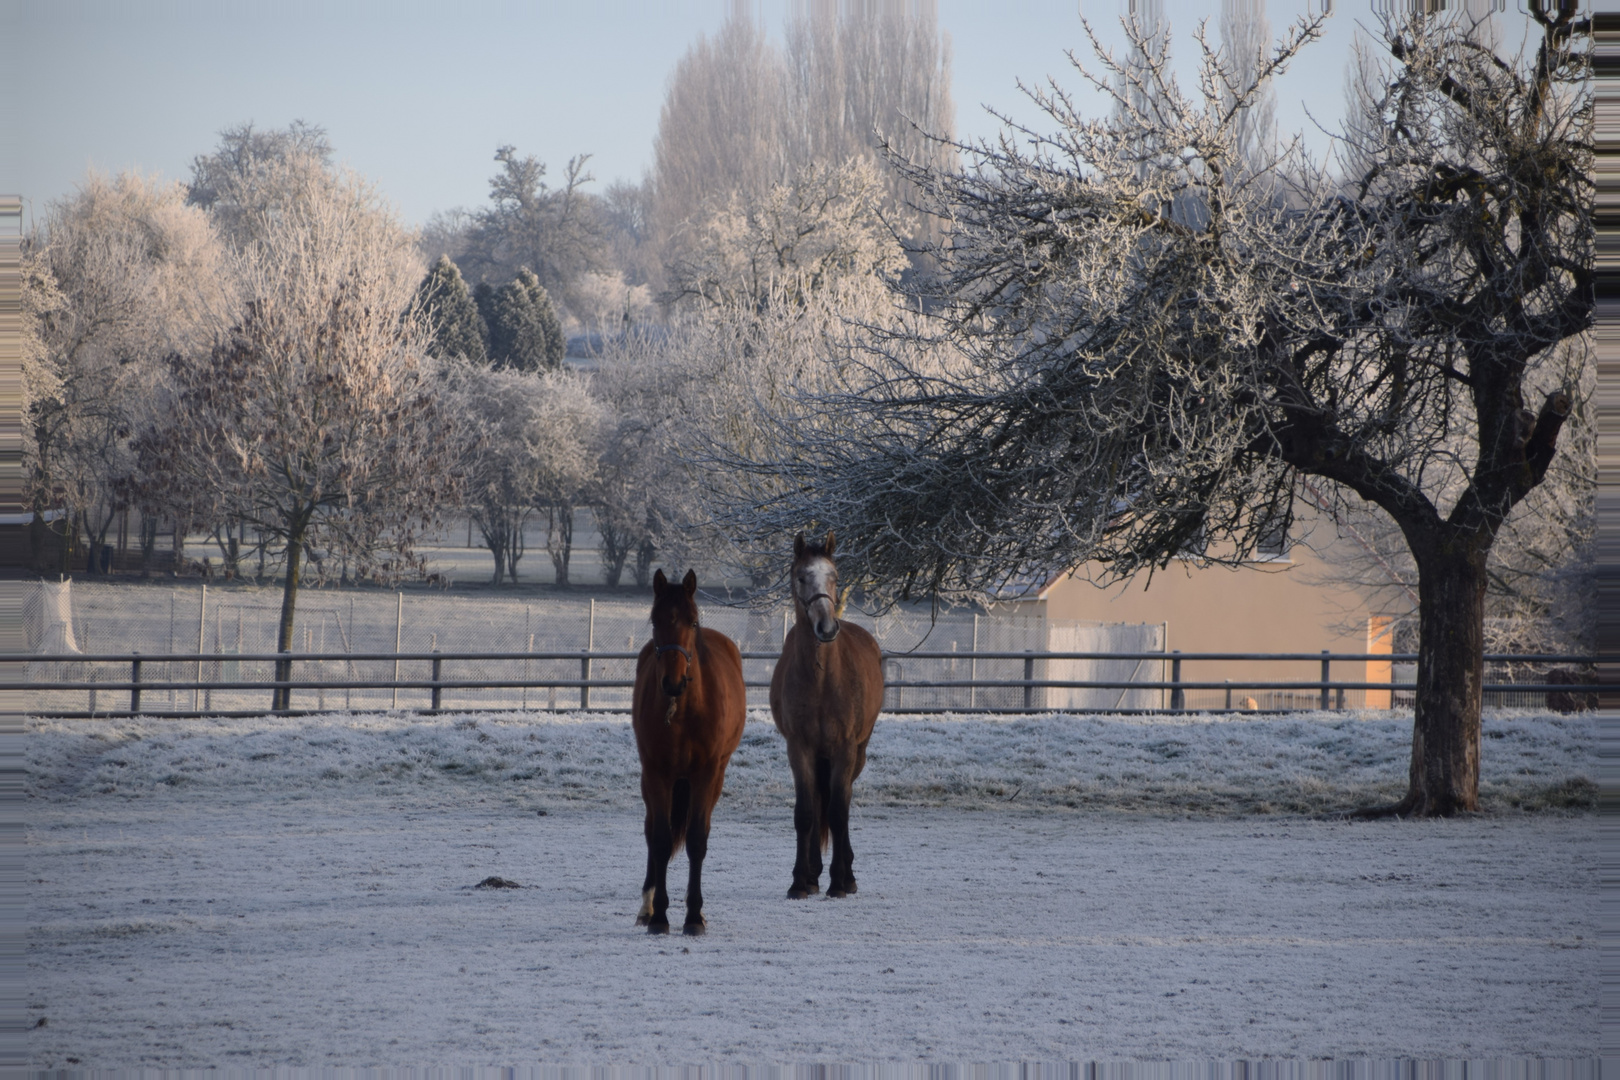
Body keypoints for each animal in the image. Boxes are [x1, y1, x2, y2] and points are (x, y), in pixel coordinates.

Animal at [631, 569, 745, 932]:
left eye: (692, 621)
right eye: (655, 621)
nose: (673, 682)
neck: (681, 712)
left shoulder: (705, 775)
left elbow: (696, 840)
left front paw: (694, 915)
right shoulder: (657, 774)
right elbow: (661, 839)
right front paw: (660, 916)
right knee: (651, 831)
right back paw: (647, 905)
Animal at [764, 527, 881, 900]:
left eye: (835, 577)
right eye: (801, 576)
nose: (827, 628)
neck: (822, 679)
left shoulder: (845, 748)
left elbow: (838, 811)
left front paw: (840, 882)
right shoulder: (798, 747)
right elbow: (805, 812)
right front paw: (800, 881)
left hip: (857, 752)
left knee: (839, 802)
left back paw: (846, 873)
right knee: (817, 802)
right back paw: (814, 873)